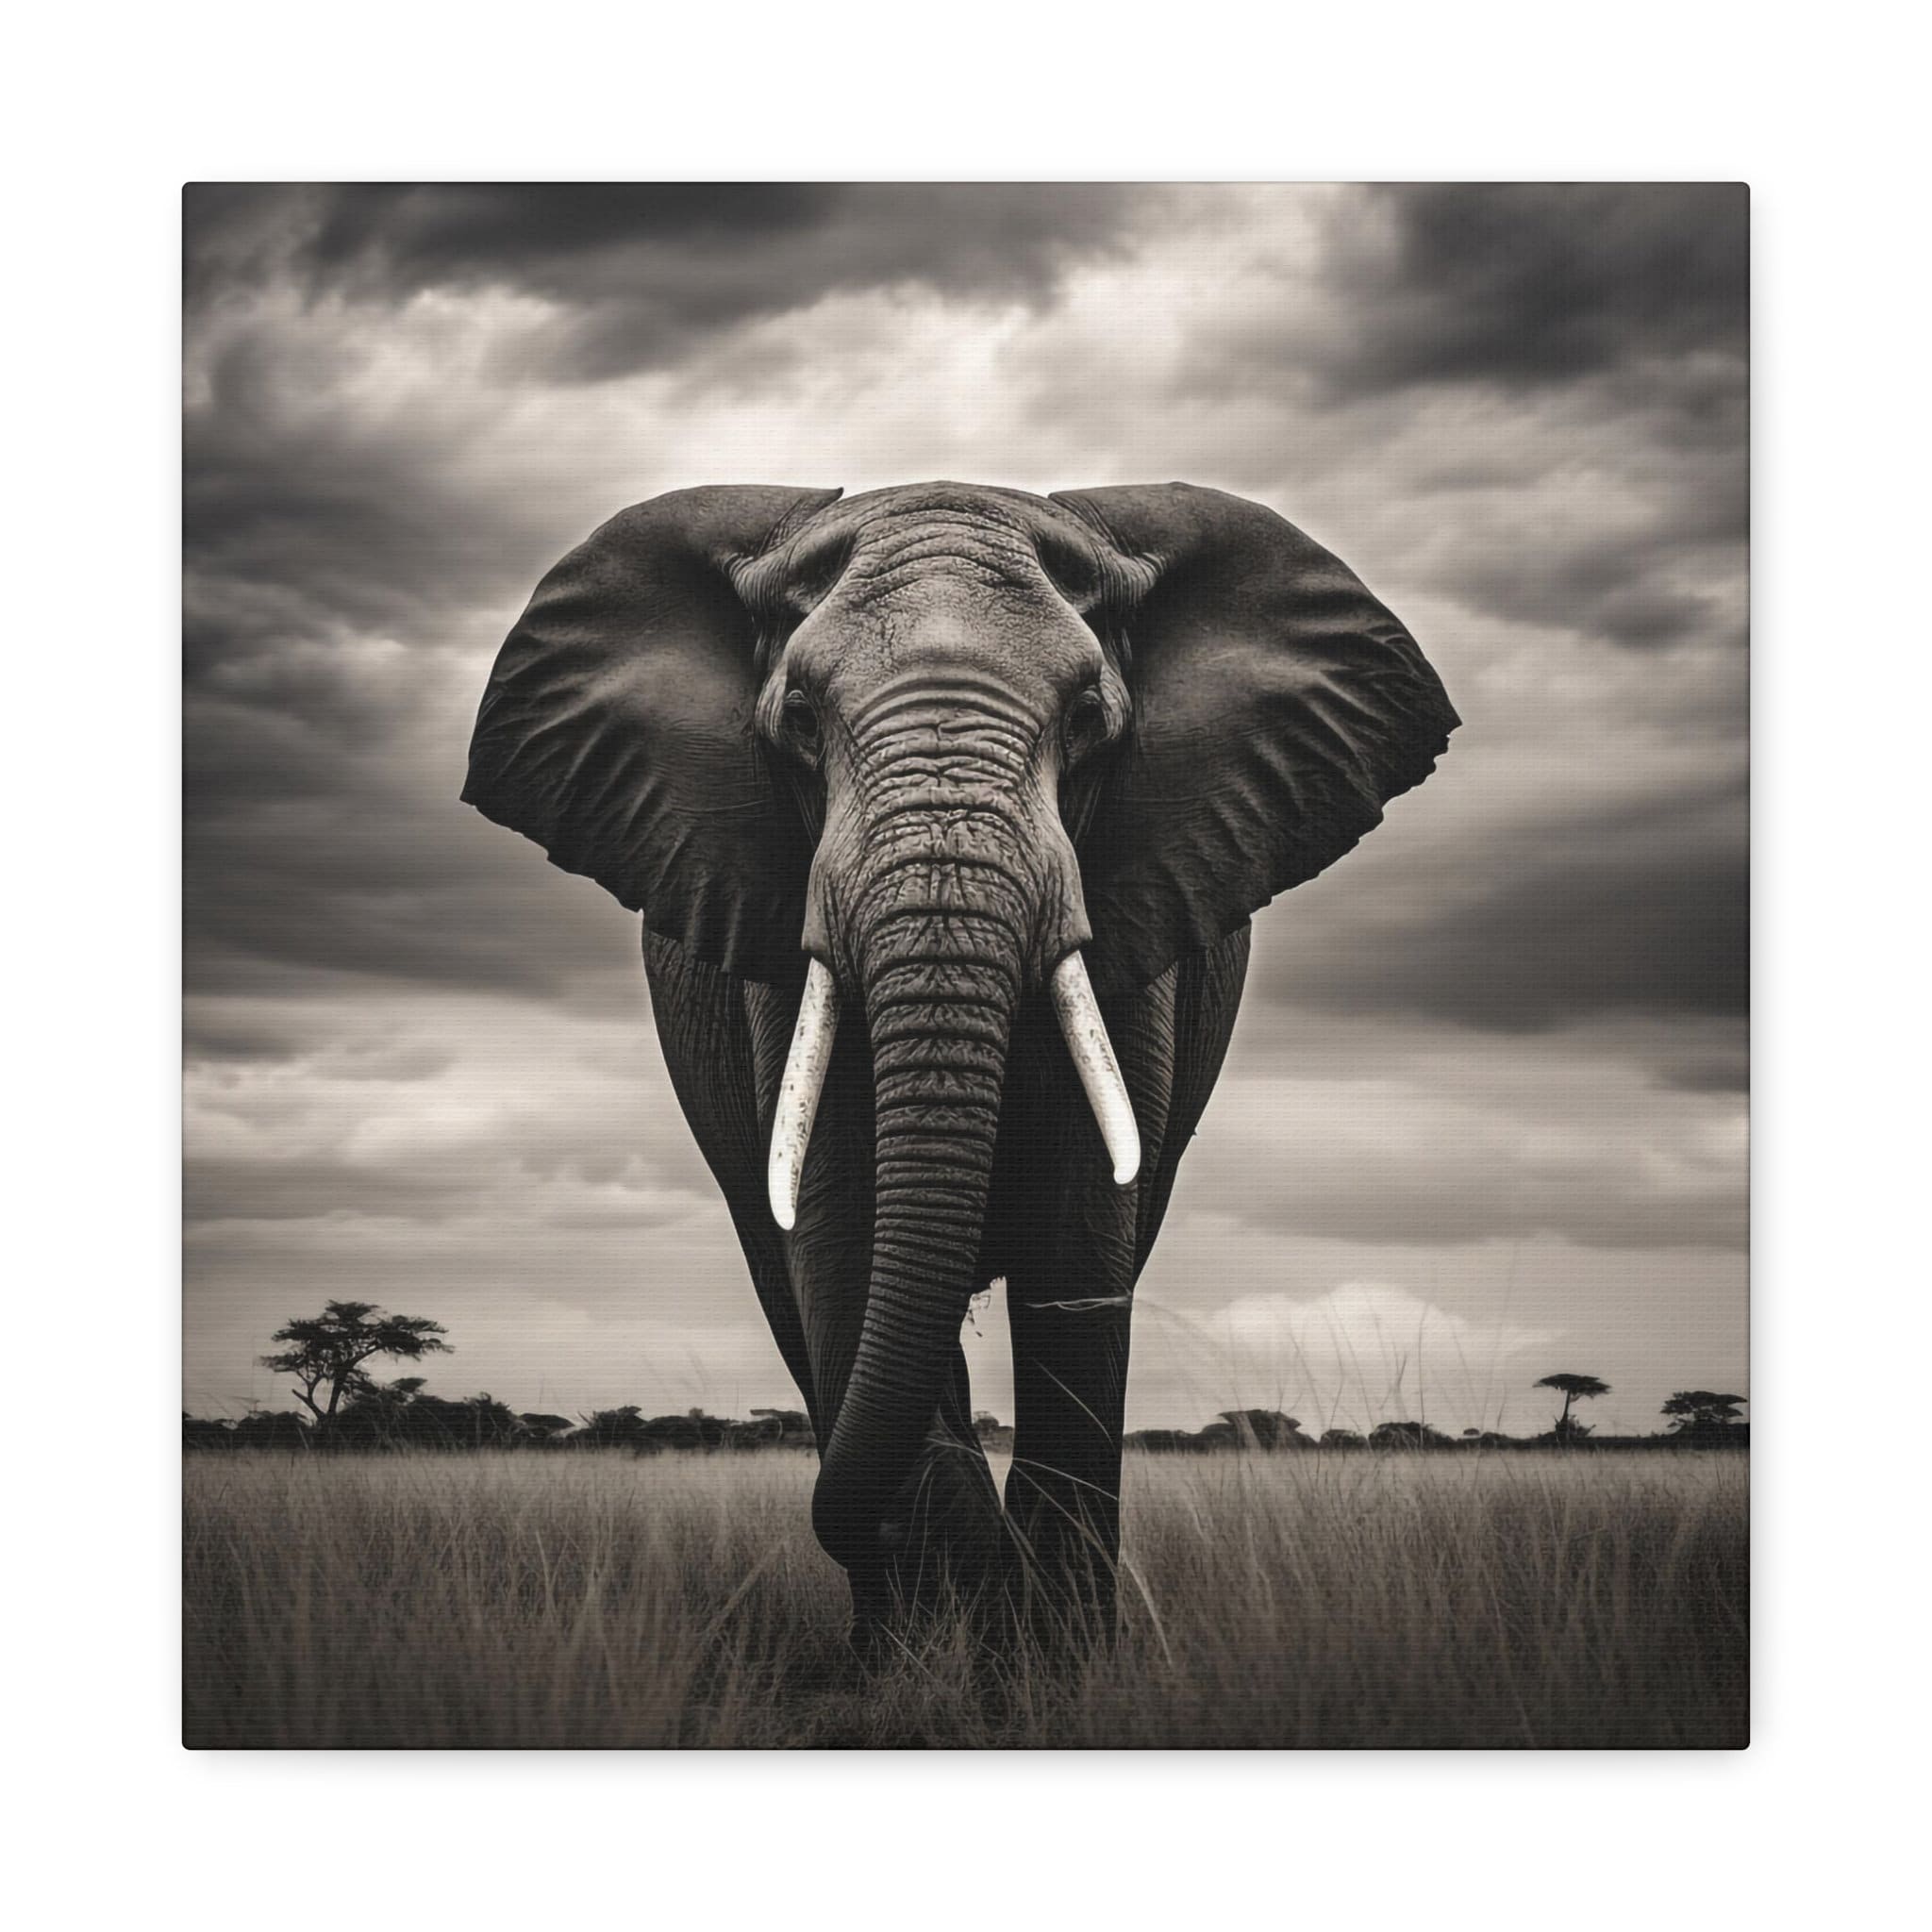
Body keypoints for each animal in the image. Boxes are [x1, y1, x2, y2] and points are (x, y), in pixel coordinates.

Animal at [463, 481, 1457, 1645]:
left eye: (1089, 721)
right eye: (799, 722)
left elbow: (1080, 1239)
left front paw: (1045, 1658)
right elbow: (841, 1233)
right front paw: (929, 1642)